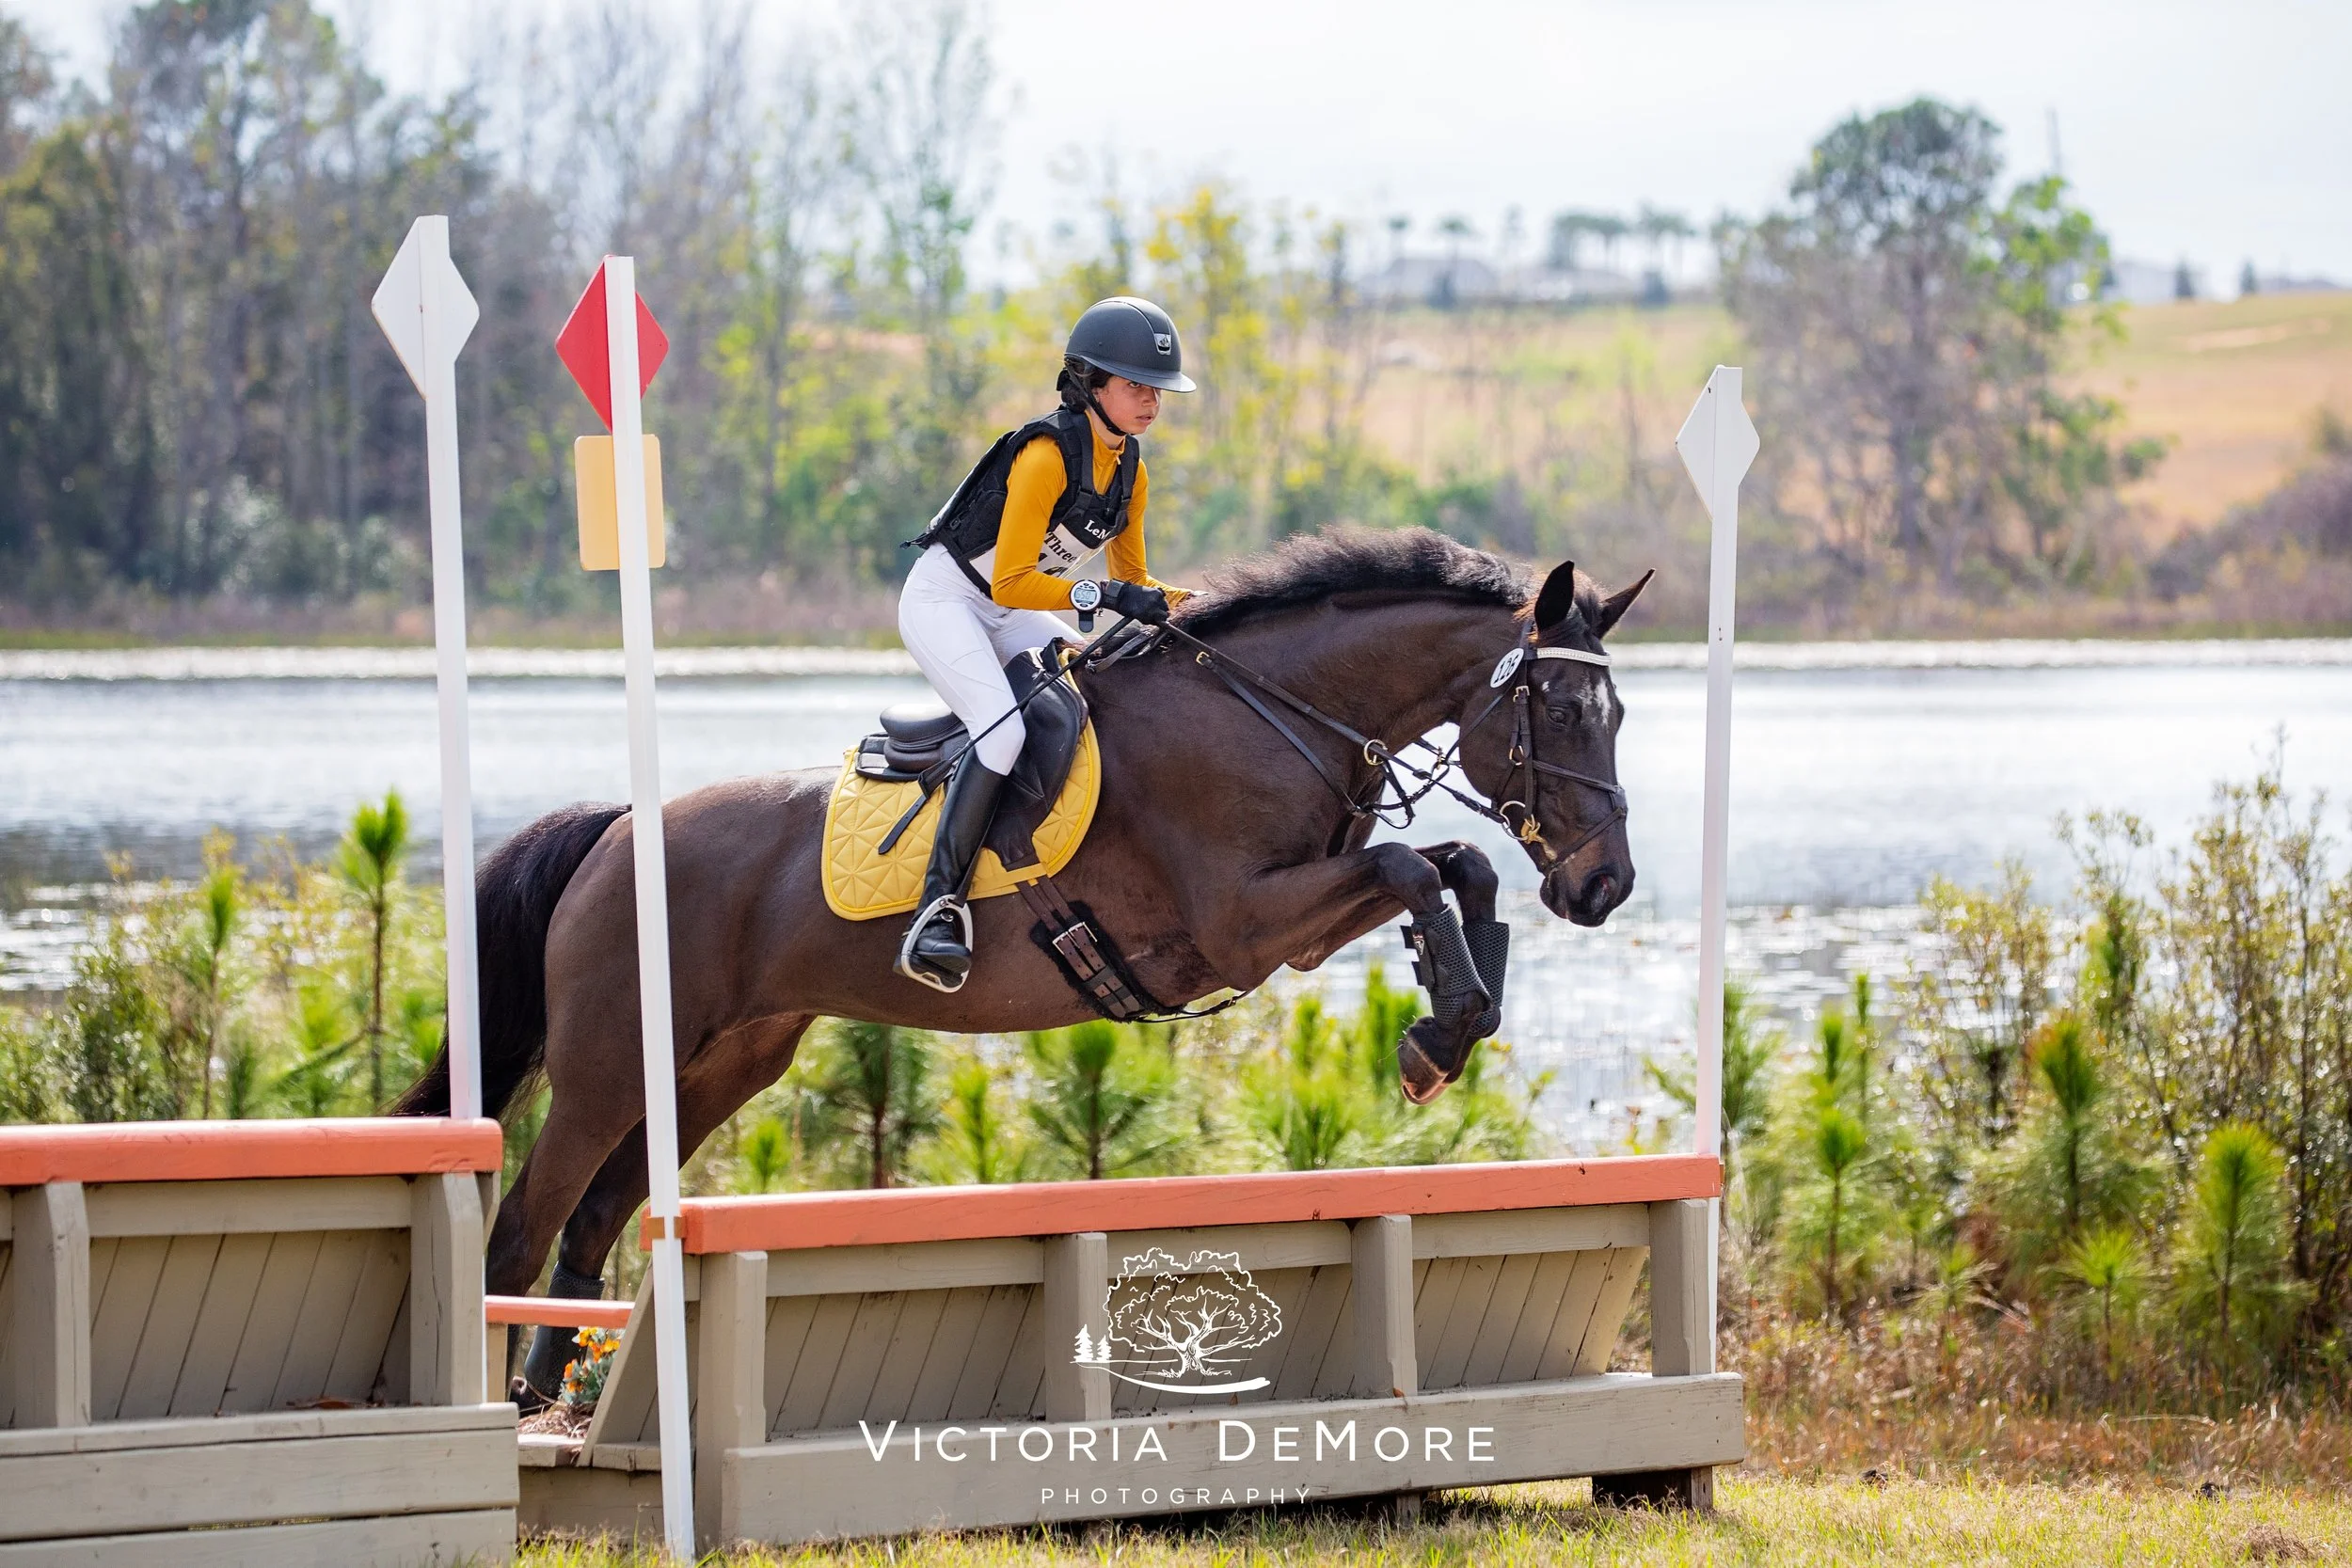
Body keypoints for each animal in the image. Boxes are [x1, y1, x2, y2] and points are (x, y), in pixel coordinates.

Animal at [396, 528, 1649, 1390]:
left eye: (1617, 712)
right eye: (1559, 707)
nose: (1604, 886)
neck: (1271, 710)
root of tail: (615, 828)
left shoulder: (1289, 924)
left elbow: (1453, 865)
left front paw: (1455, 1014)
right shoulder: (1243, 924)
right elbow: (1407, 866)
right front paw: (1438, 1032)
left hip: (721, 1062)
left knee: (598, 1217)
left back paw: (547, 1388)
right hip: (609, 1063)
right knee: (525, 1222)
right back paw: (506, 1407)